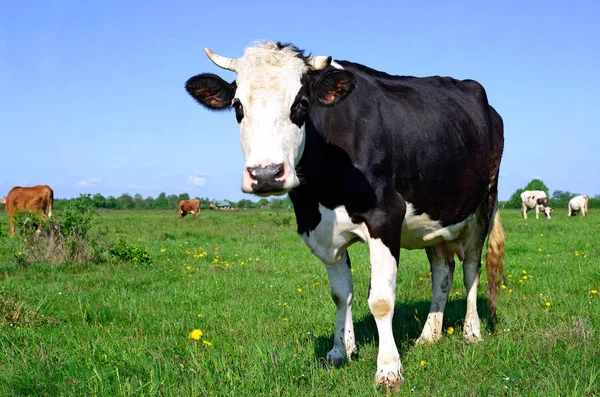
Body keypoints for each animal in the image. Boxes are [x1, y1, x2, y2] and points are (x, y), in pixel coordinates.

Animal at [185, 41, 504, 388]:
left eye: (302, 103)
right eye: (238, 107)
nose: (266, 174)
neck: (324, 190)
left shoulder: (385, 218)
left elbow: (381, 300)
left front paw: (389, 368)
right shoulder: (320, 229)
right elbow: (341, 295)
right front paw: (341, 350)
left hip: (483, 203)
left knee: (471, 268)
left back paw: (471, 332)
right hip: (434, 217)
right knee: (443, 272)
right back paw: (429, 335)